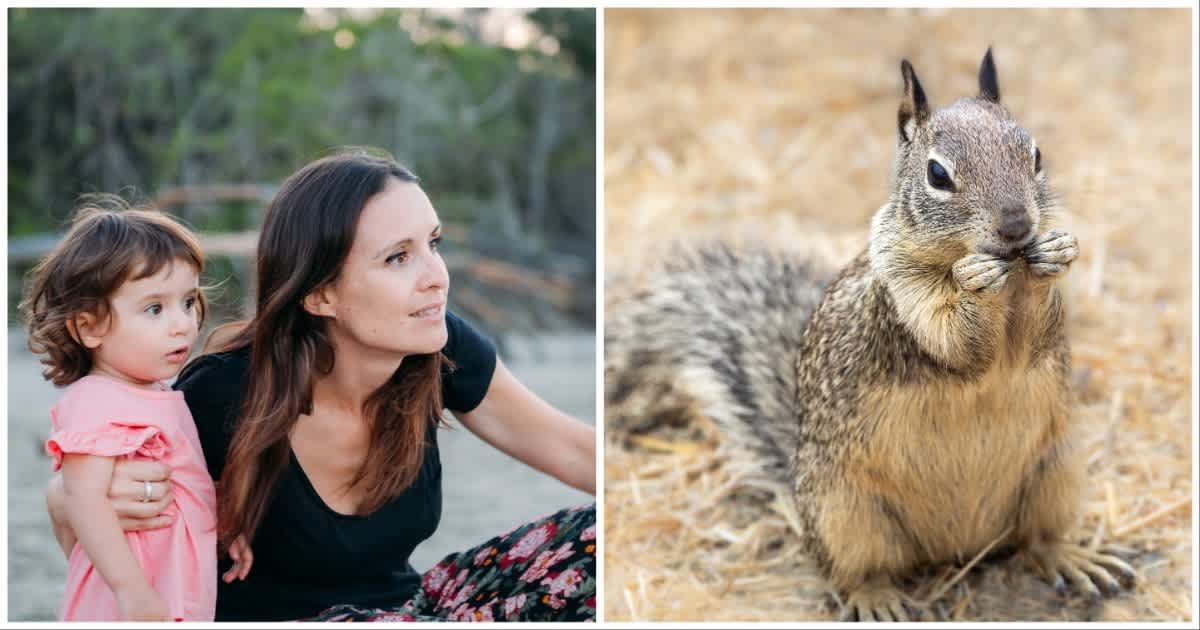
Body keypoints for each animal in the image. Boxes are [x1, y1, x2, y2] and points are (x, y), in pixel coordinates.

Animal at [604, 49, 1137, 621]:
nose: (1018, 226)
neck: (1008, 276)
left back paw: (1075, 558)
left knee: (1035, 540)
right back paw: (877, 598)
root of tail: (958, 549)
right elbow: (956, 341)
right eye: (937, 174)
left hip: (1055, 472)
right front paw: (974, 286)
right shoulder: (900, 304)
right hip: (845, 514)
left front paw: (1055, 253)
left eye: (1035, 154)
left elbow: (1036, 336)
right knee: (858, 570)